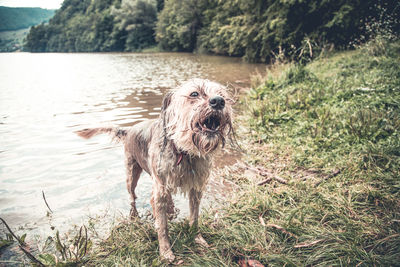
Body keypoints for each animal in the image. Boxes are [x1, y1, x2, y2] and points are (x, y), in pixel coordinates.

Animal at [76, 78, 234, 262]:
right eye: (194, 93)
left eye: (222, 95)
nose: (219, 101)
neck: (182, 151)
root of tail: (129, 129)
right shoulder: (160, 188)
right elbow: (162, 226)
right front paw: (165, 251)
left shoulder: (196, 187)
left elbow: (194, 217)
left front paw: (198, 239)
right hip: (132, 173)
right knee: (132, 195)